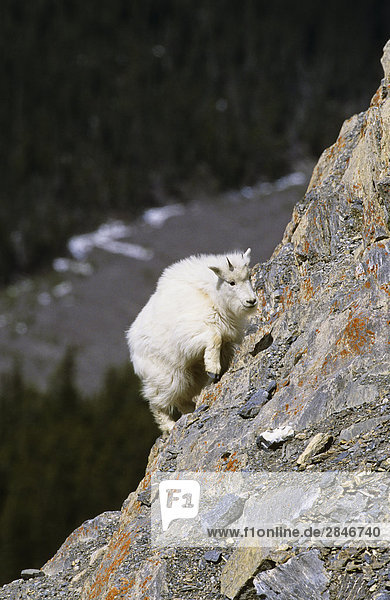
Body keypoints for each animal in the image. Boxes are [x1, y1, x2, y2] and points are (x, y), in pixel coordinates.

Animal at [126, 246, 258, 434]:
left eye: (248, 277)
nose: (251, 301)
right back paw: (169, 426)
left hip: (190, 375)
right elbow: (214, 337)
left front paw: (219, 371)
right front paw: (213, 369)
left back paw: (192, 410)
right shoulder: (190, 334)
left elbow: (222, 348)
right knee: (158, 401)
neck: (211, 293)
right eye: (231, 282)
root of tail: (131, 340)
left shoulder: (227, 337)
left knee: (182, 399)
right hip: (165, 375)